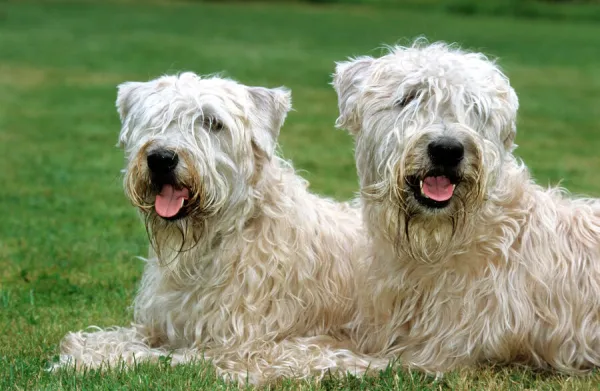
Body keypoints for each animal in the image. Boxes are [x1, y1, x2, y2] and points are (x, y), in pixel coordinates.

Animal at [55, 72, 384, 384]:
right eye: (154, 118)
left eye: (213, 123)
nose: (161, 158)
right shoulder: (164, 324)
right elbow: (116, 337)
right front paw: (81, 345)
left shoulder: (234, 350)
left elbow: (152, 358)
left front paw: (84, 360)